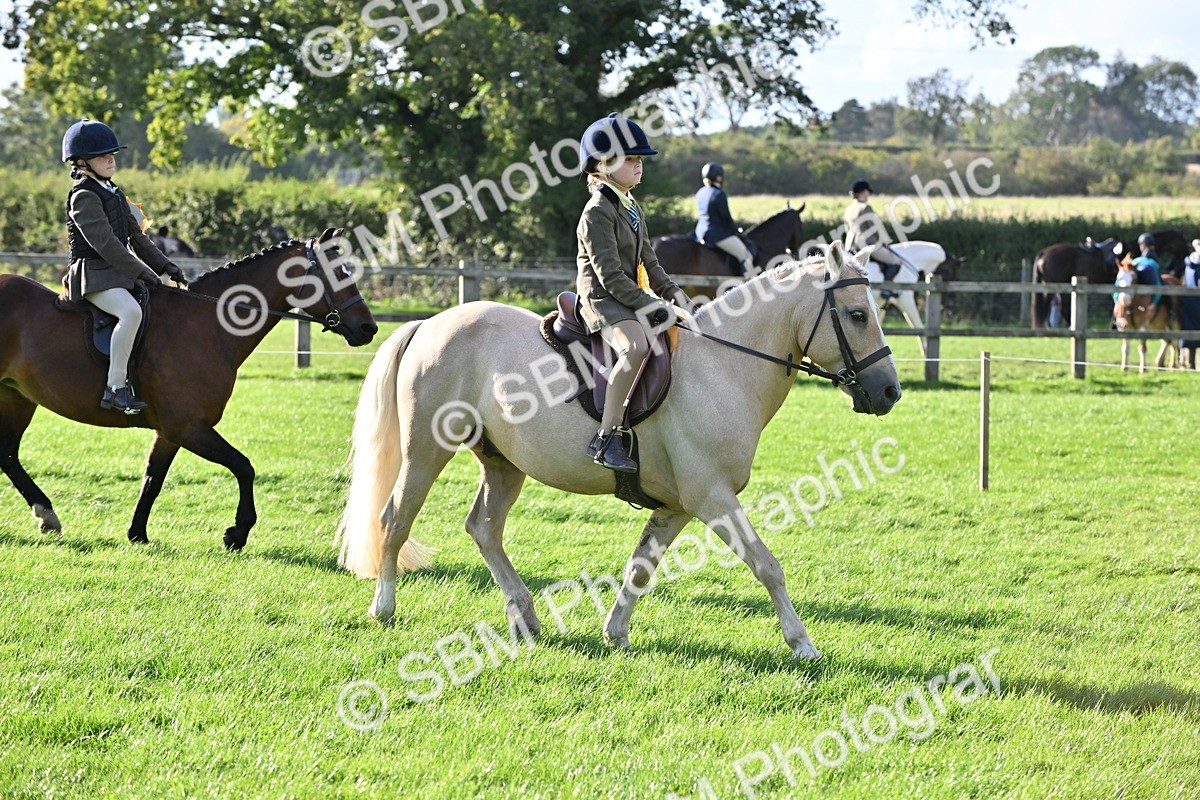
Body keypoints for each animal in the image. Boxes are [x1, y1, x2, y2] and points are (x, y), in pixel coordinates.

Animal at [0, 228, 377, 549]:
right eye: (340, 274)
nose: (368, 328)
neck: (207, 325)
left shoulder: (171, 432)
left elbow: (153, 479)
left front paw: (137, 534)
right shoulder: (188, 427)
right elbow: (244, 466)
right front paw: (237, 532)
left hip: (17, 397)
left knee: (8, 455)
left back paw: (46, 515)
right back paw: (46, 515)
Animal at [336, 242, 900, 660]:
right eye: (856, 315)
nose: (890, 392)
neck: (724, 366)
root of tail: (429, 325)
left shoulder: (676, 507)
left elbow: (640, 569)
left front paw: (616, 633)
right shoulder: (713, 498)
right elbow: (766, 565)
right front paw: (803, 644)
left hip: (503, 464)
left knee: (484, 528)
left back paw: (525, 616)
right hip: (426, 451)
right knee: (394, 519)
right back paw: (384, 608)